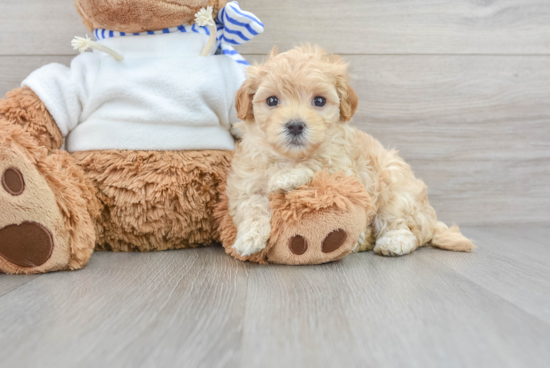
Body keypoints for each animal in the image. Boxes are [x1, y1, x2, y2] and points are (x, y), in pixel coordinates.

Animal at [226, 45, 476, 258]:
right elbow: (251, 207)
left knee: (403, 224)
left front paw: (286, 177)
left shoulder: (346, 172)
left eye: (319, 101)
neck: (289, 156)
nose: (295, 125)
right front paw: (249, 239)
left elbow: (319, 164)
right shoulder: (247, 184)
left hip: (396, 186)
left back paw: (393, 241)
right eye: (272, 100)